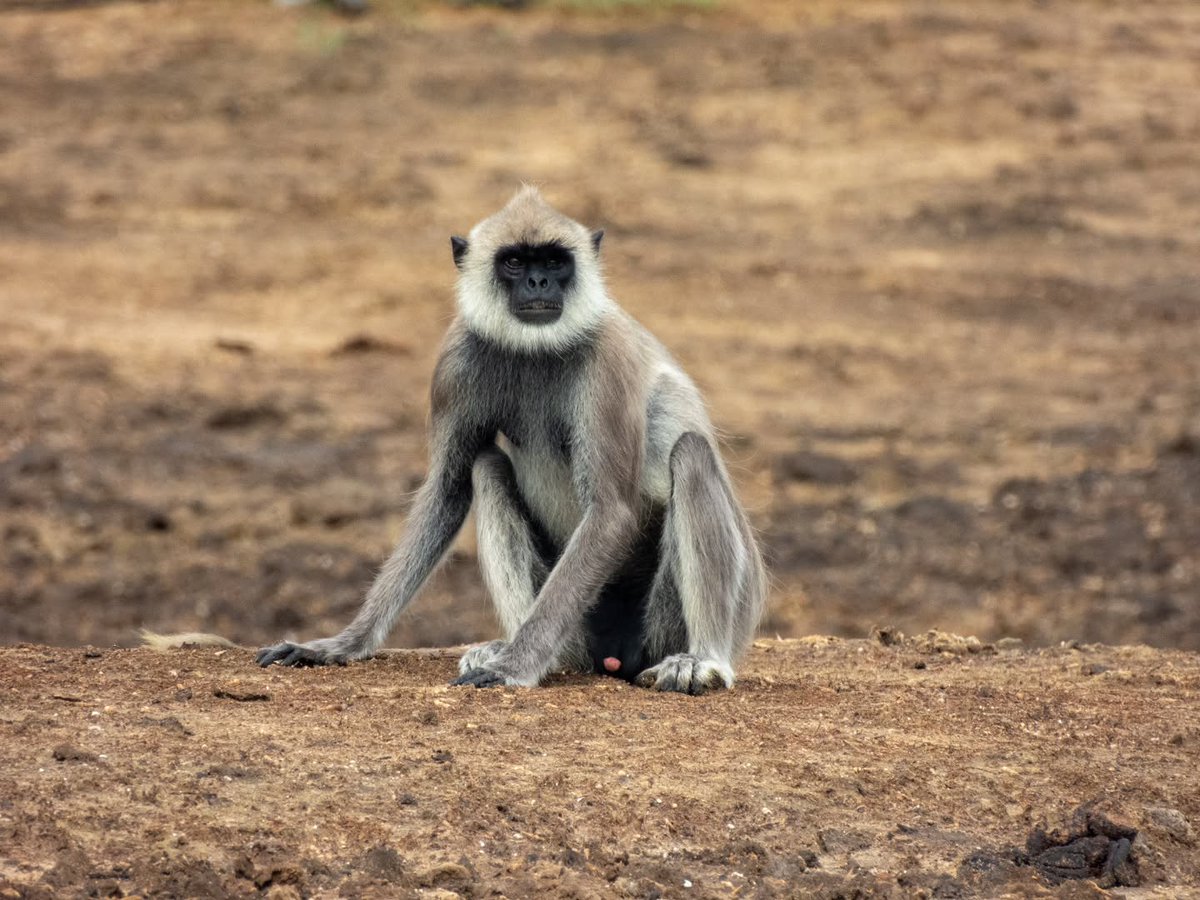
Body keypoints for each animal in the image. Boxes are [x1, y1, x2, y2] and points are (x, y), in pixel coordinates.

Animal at [257, 186, 767, 694]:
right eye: (516, 262)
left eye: (555, 261)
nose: (539, 283)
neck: (535, 347)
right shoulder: (457, 359)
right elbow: (448, 489)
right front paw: (342, 644)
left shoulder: (606, 359)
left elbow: (610, 511)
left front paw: (516, 666)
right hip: (581, 632)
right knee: (485, 466)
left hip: (690, 615)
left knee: (692, 453)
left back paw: (702, 658)